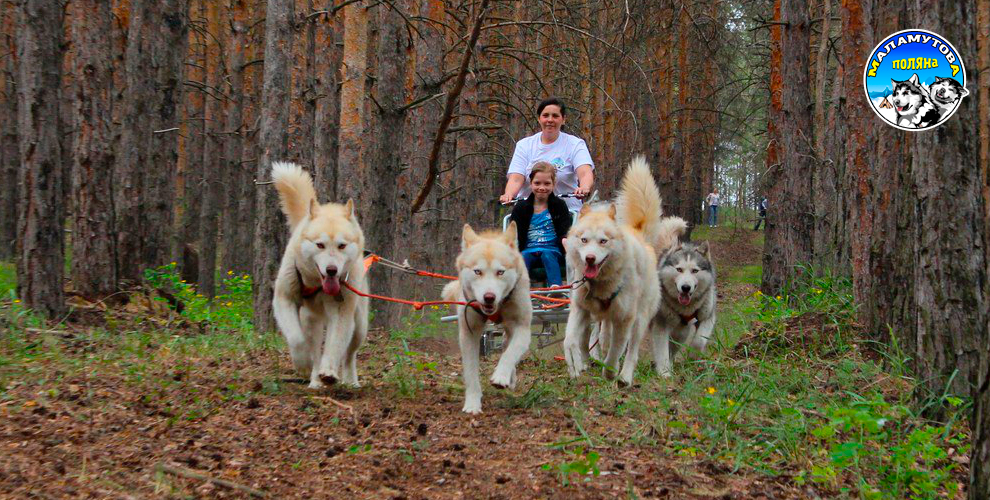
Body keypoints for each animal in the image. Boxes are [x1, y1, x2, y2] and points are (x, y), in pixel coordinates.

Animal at [272, 162, 368, 388]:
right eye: (320, 245)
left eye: (341, 245)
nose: (332, 270)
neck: (316, 283)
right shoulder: (284, 299)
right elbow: (296, 339)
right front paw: (303, 363)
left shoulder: (342, 312)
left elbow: (334, 345)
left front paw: (330, 372)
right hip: (311, 321)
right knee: (315, 350)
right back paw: (315, 378)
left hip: (359, 325)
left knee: (349, 355)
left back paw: (350, 381)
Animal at [564, 158, 688, 384]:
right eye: (584, 239)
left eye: (603, 241)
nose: (590, 258)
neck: (600, 284)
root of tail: (639, 234)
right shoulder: (580, 309)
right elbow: (570, 340)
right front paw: (576, 363)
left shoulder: (625, 318)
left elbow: (617, 350)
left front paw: (610, 372)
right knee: (603, 335)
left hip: (639, 319)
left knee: (632, 351)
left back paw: (625, 377)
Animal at [656, 241, 716, 376]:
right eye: (679, 269)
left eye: (695, 270)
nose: (685, 287)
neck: (686, 308)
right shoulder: (661, 323)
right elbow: (662, 350)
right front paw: (664, 373)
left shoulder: (708, 317)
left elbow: (699, 341)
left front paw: (694, 357)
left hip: (682, 331)